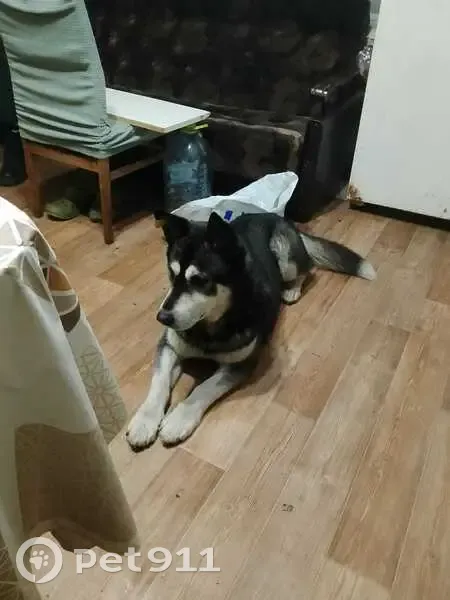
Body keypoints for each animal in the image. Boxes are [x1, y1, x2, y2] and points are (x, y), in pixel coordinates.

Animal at [126, 211, 376, 450]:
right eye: (171, 274)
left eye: (200, 280)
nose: (162, 318)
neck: (210, 328)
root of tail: (274, 216)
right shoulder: (169, 346)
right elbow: (159, 382)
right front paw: (144, 422)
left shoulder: (241, 364)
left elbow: (205, 388)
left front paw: (179, 419)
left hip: (285, 259)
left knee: (307, 271)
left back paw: (292, 290)